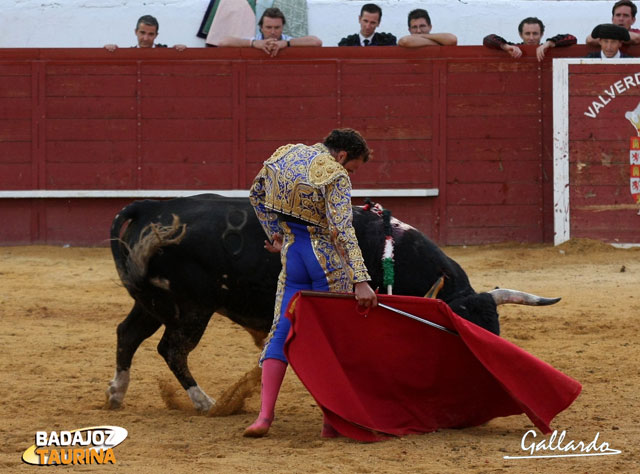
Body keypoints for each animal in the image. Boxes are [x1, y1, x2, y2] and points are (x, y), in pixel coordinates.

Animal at [106, 193, 560, 412]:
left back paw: (116, 394)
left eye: (495, 332)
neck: (387, 252)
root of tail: (153, 208)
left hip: (154, 301)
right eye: (461, 335)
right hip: (192, 307)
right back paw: (206, 403)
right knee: (172, 349)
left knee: (128, 334)